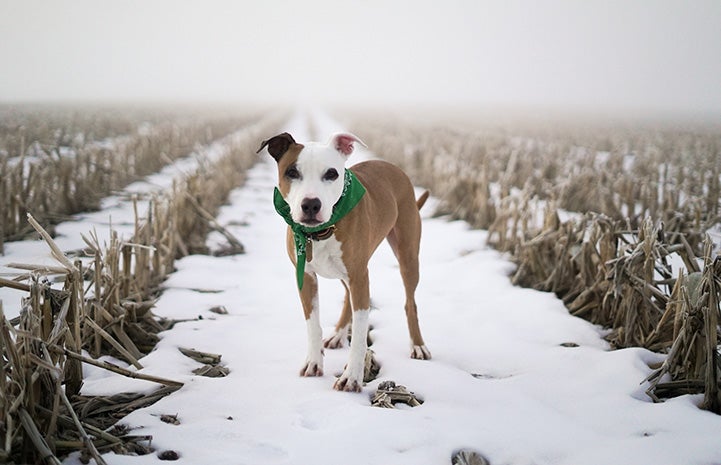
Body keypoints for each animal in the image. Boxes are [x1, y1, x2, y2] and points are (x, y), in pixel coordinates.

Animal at [258, 131, 430, 392]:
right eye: (292, 172)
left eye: (331, 174)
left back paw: (418, 345)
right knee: (348, 297)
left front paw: (352, 378)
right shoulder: (306, 277)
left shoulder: (359, 276)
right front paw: (313, 363)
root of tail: (392, 166)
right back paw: (338, 334)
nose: (311, 204)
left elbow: (359, 335)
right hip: (345, 272)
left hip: (407, 256)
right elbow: (313, 324)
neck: (319, 232)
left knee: (410, 303)